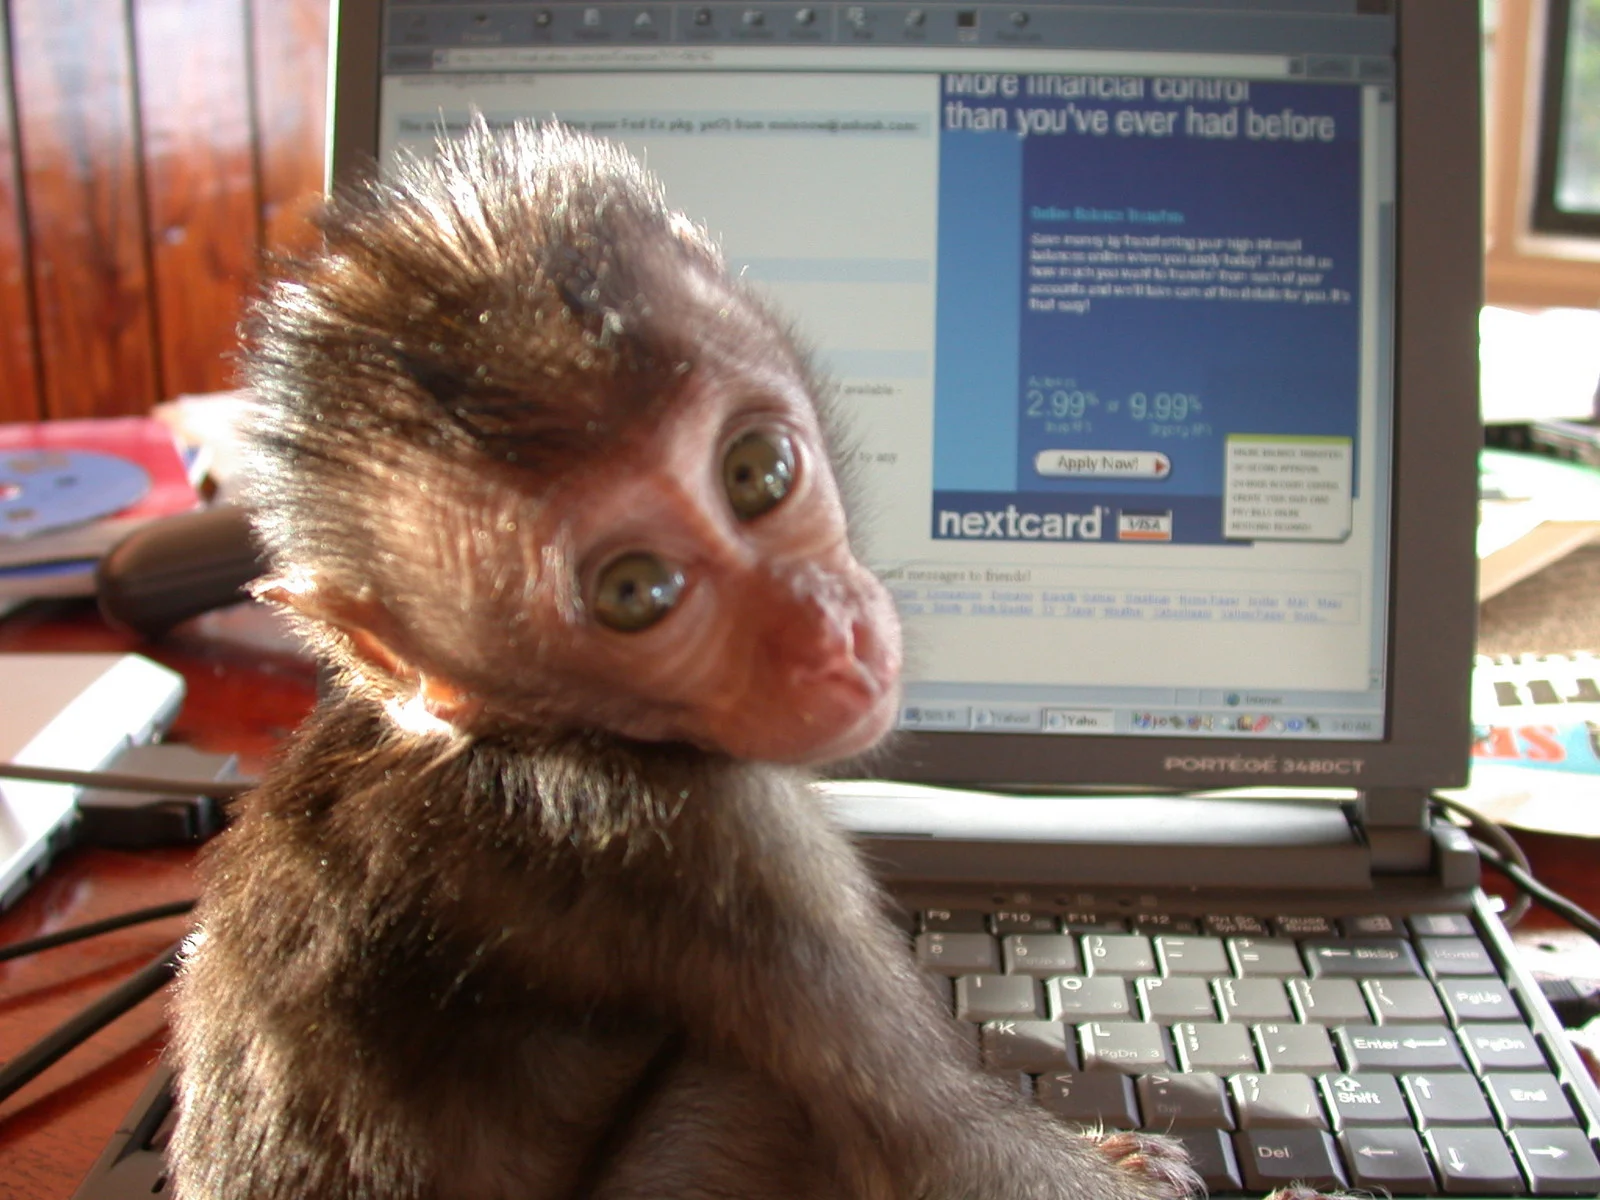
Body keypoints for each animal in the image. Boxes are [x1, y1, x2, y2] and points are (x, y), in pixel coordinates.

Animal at [166, 120, 1332, 1200]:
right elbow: (936, 1149)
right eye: (634, 592)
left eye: (758, 470)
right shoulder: (708, 846)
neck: (509, 734)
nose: (826, 633)